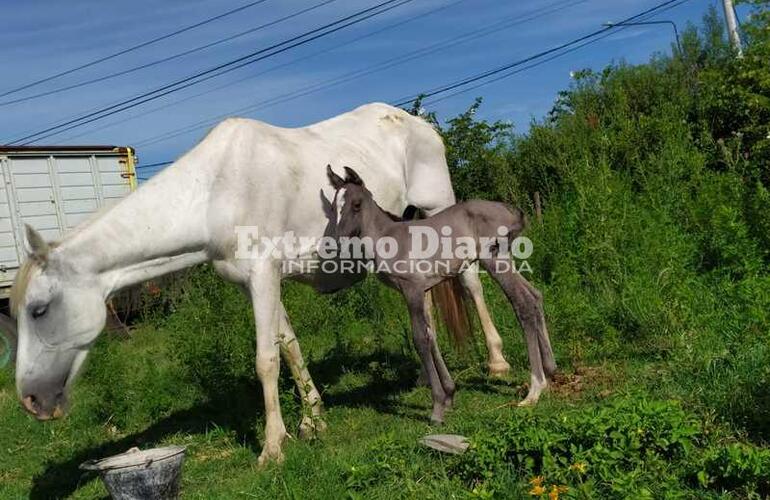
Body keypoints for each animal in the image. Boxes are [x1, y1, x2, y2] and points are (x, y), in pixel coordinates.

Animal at [12, 102, 516, 464]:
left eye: (39, 309)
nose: (32, 402)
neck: (214, 193)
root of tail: (418, 123)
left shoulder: (262, 275)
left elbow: (265, 360)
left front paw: (273, 446)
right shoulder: (254, 282)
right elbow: (288, 345)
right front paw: (313, 422)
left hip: (439, 210)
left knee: (470, 283)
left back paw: (497, 363)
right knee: (426, 307)